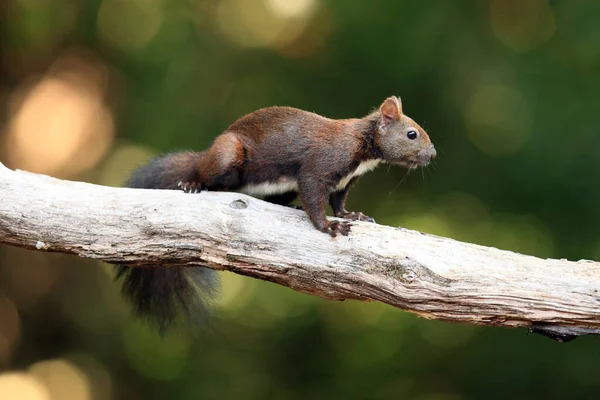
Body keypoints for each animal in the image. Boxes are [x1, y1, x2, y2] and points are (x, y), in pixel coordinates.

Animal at [116, 96, 436, 332]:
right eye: (412, 134)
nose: (433, 155)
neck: (363, 150)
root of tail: (205, 154)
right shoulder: (321, 165)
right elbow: (314, 197)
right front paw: (328, 227)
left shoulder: (345, 182)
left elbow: (338, 203)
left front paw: (353, 215)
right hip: (226, 154)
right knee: (206, 175)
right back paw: (193, 183)